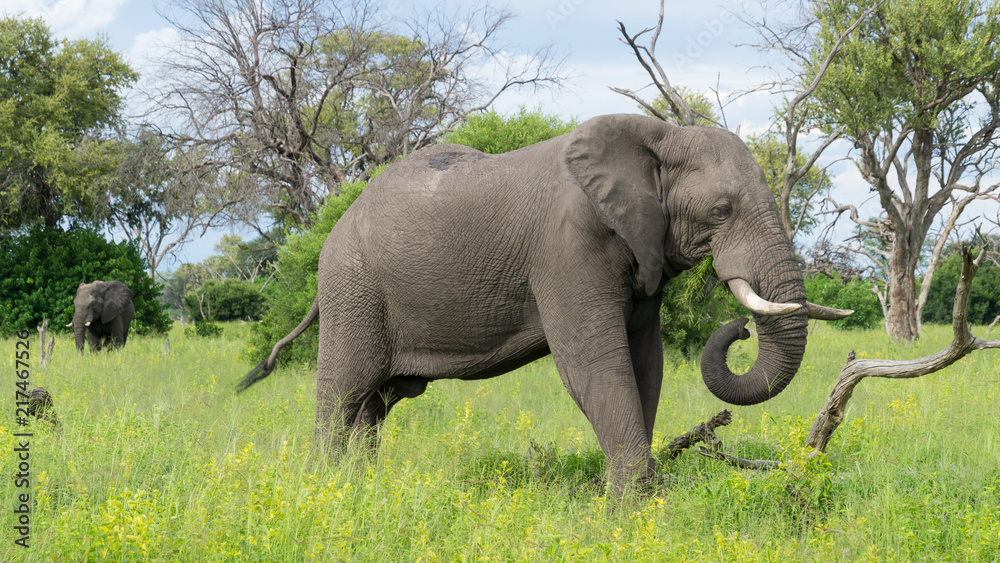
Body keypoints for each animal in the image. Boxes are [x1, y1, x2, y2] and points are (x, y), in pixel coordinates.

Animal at [238, 114, 849, 492]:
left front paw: (634, 503)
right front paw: (631, 511)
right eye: (722, 211)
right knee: (344, 391)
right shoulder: (567, 248)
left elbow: (644, 363)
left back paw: (361, 489)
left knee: (377, 404)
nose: (738, 329)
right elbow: (593, 364)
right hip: (353, 286)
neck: (661, 134)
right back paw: (327, 489)